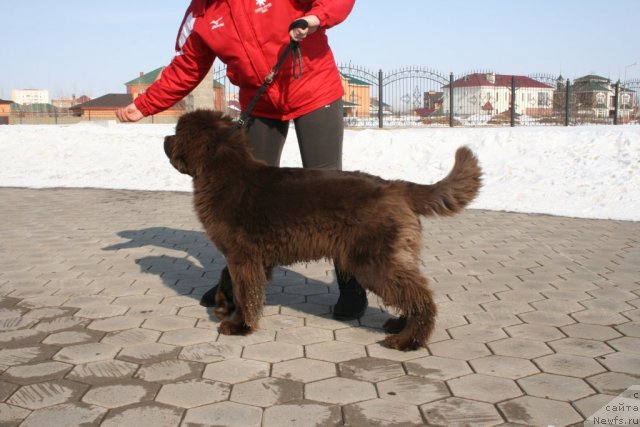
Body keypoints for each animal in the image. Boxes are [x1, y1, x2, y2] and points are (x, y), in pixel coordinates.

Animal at [162, 109, 482, 352]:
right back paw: (399, 325)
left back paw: (408, 340)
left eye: (178, 132)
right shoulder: (246, 257)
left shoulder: (242, 255)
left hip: (374, 260)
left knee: (420, 297)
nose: (165, 138)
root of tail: (395, 186)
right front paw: (223, 304)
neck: (223, 173)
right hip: (393, 255)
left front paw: (239, 325)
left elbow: (245, 291)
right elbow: (230, 280)